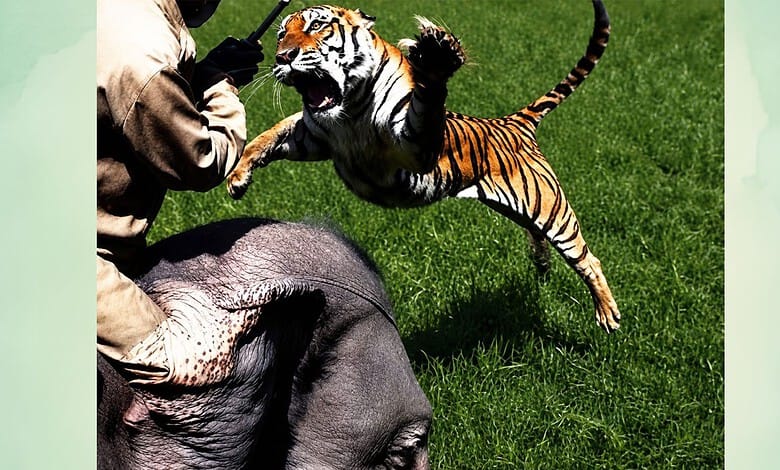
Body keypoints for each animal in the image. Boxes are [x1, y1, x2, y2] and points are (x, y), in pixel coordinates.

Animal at [227, 1, 621, 333]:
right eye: (281, 34)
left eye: (318, 26)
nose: (283, 57)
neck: (350, 108)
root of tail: (512, 121)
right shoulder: (312, 135)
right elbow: (268, 135)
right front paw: (238, 176)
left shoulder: (414, 144)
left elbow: (427, 102)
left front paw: (436, 57)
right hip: (521, 207)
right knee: (537, 236)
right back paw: (541, 267)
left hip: (550, 208)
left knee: (589, 259)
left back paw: (608, 315)